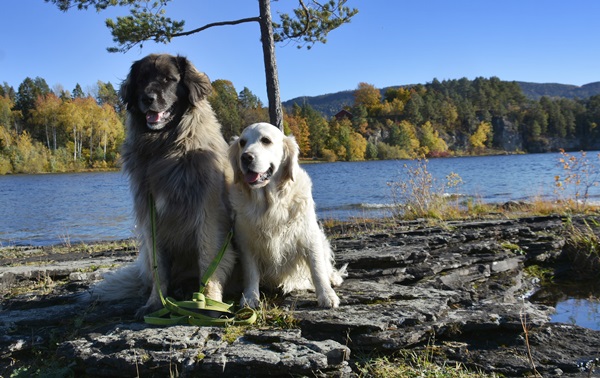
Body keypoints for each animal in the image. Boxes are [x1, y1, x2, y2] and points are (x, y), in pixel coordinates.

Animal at [227, 122, 344, 308]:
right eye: (242, 143)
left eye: (266, 140)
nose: (246, 157)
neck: (270, 202)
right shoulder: (246, 241)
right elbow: (251, 272)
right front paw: (250, 297)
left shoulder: (309, 236)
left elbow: (317, 268)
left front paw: (327, 295)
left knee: (326, 265)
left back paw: (333, 278)